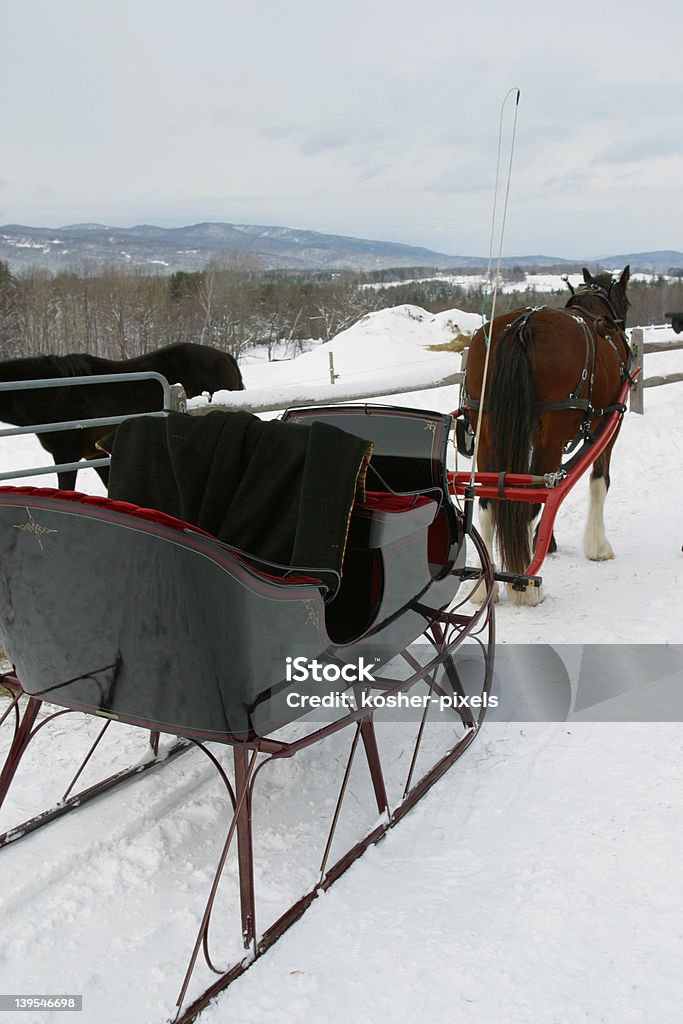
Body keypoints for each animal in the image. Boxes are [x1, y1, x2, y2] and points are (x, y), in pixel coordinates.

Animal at [462, 264, 634, 602]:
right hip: (550, 437)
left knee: (488, 499)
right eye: (627, 302)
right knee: (534, 497)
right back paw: (527, 586)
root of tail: (521, 326)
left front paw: (549, 541)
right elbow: (597, 482)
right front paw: (597, 547)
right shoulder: (610, 424)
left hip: (486, 428)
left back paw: (486, 583)